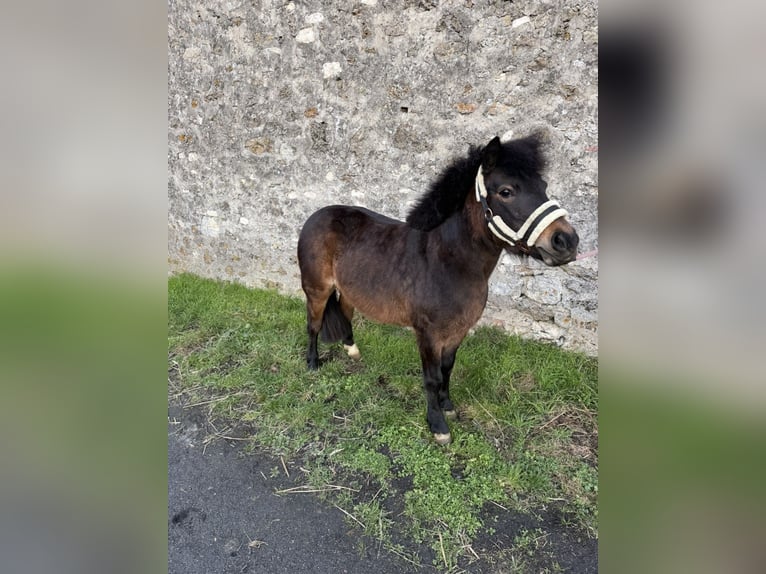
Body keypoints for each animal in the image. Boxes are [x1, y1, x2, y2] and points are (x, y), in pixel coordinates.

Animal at [297, 134, 579, 445]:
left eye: (543, 187)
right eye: (506, 191)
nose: (566, 241)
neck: (447, 261)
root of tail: (317, 216)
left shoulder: (457, 331)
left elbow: (447, 369)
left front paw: (448, 407)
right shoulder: (428, 334)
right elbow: (431, 377)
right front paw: (438, 426)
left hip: (348, 289)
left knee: (345, 312)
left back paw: (353, 352)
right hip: (317, 289)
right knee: (313, 324)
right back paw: (312, 364)